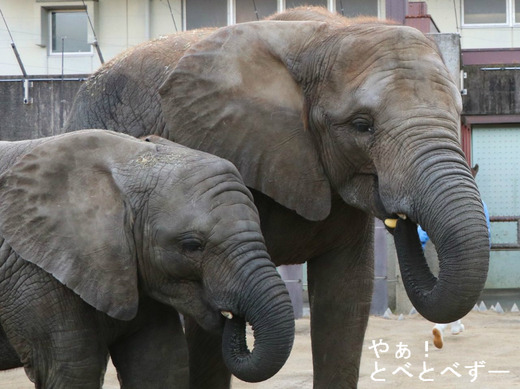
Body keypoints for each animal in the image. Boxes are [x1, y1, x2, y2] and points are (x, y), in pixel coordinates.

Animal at [0, 131, 294, 388]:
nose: (232, 316)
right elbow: (72, 371)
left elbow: (161, 362)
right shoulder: (34, 274)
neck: (132, 158)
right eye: (192, 246)